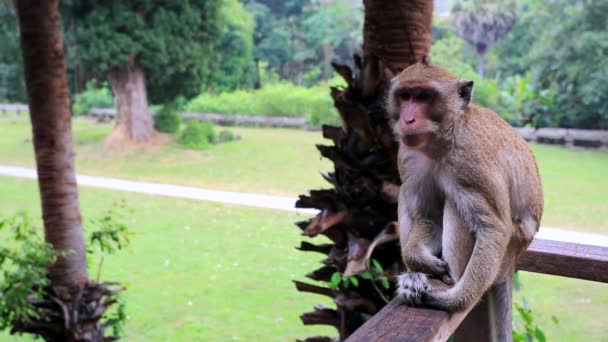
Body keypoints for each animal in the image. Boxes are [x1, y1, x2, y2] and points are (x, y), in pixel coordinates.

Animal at [388, 56, 544, 336]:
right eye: (405, 96)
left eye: (424, 96)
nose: (408, 120)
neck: (443, 139)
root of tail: (513, 262)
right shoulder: (407, 155)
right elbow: (428, 217)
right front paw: (420, 261)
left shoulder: (471, 160)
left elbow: (493, 227)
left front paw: (454, 300)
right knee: (407, 194)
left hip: (505, 254)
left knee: (457, 205)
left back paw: (450, 282)